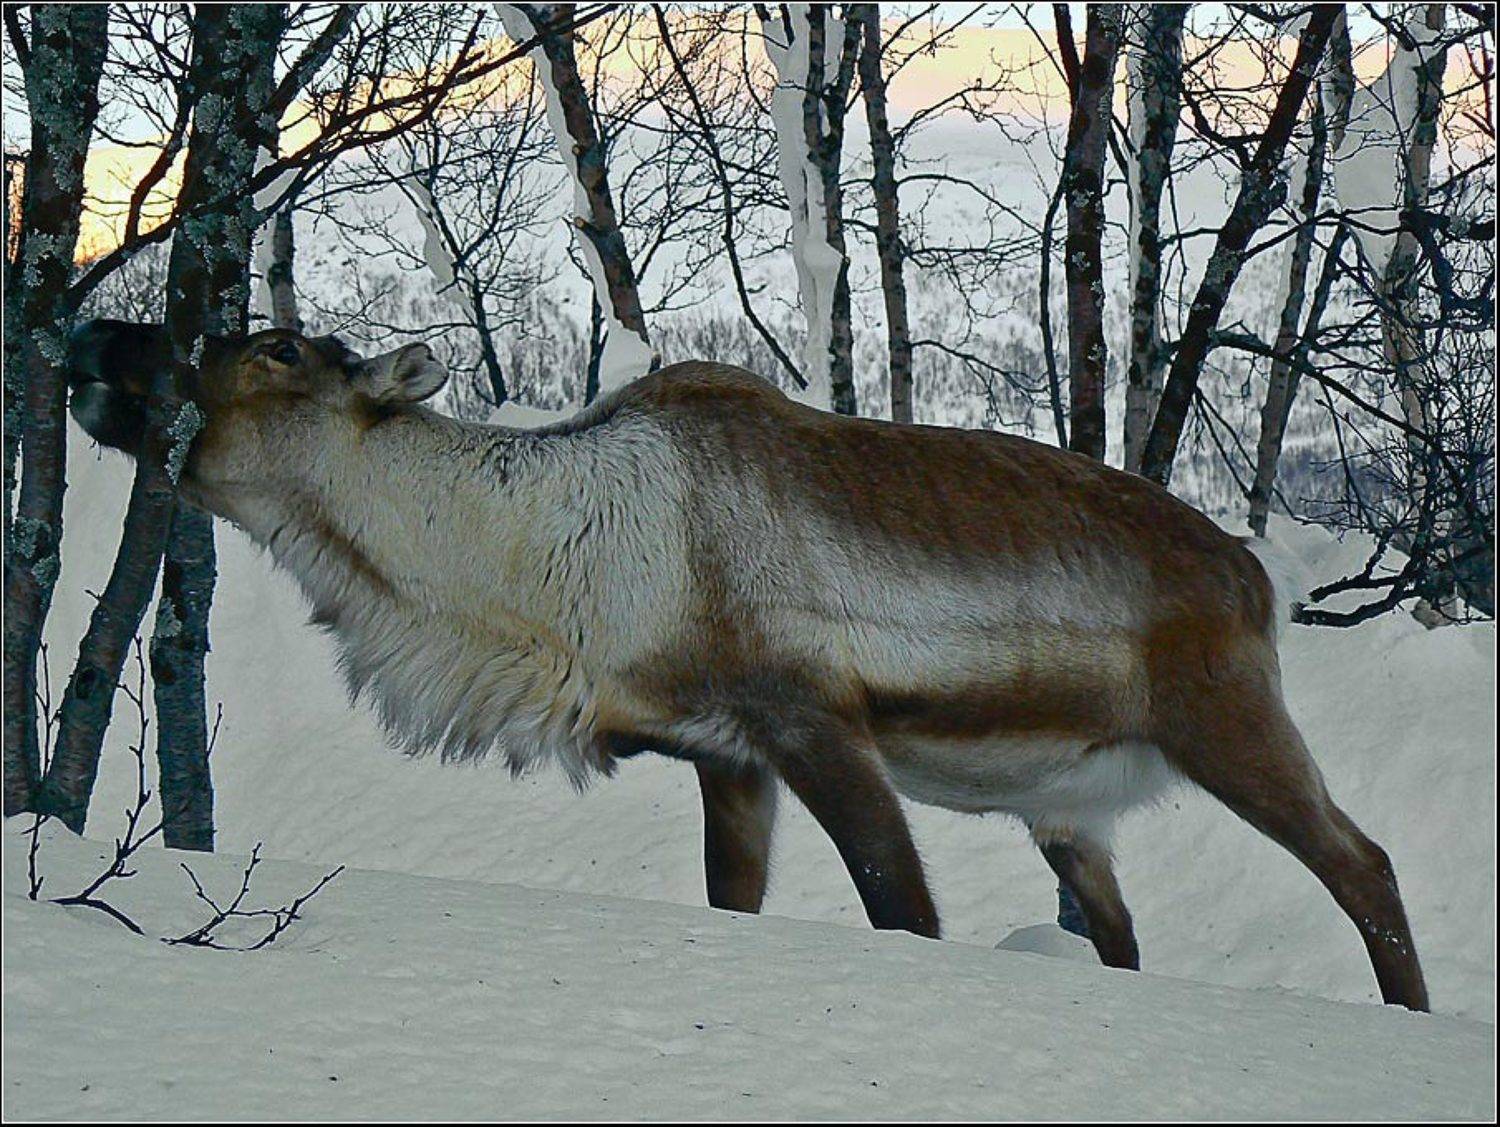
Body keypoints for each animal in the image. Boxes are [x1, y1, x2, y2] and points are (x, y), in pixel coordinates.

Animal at [65, 318, 1429, 1011]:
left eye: (275, 347)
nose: (93, 324)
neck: (542, 586)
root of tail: (1256, 578)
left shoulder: (814, 723)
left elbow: (903, 909)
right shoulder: (725, 759)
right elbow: (738, 904)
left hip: (1230, 721)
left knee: (1365, 863)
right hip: (1068, 814)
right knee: (1124, 936)